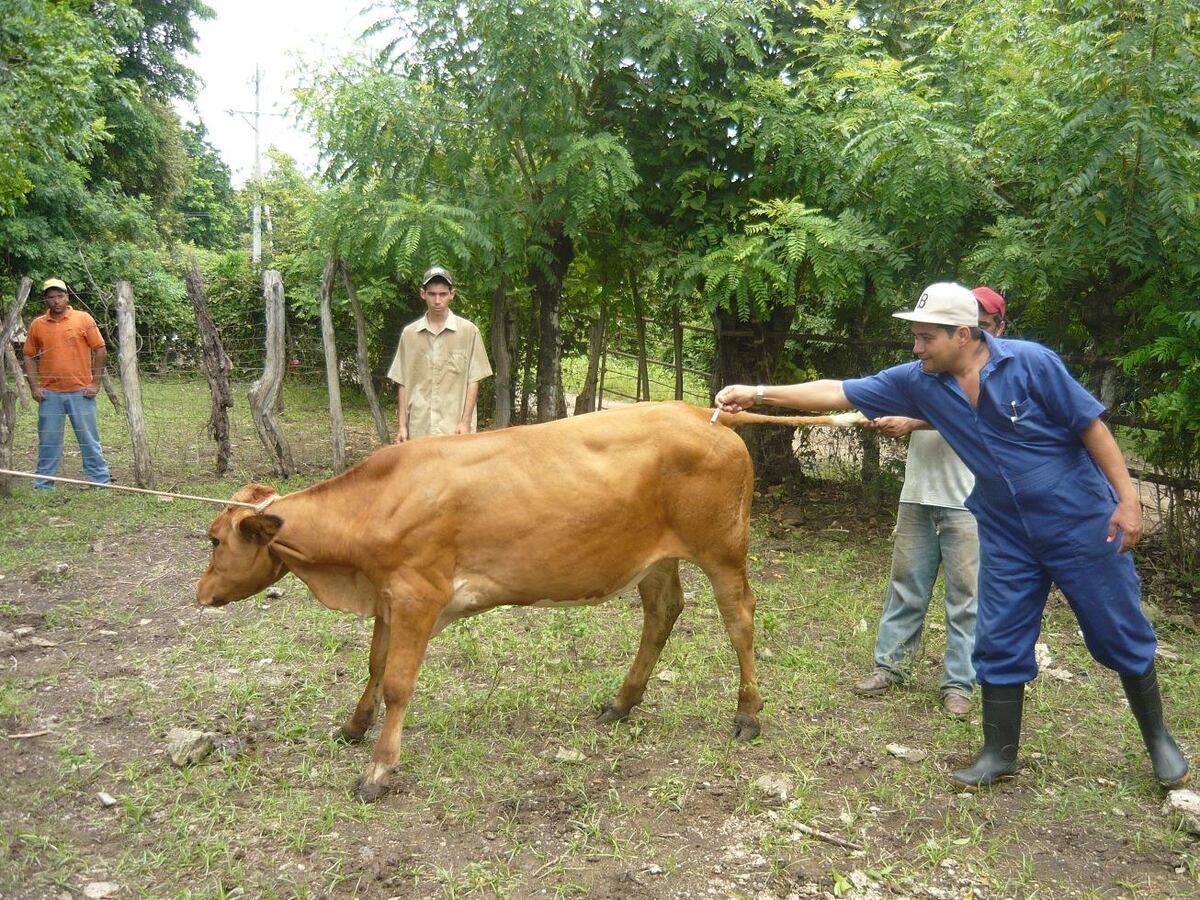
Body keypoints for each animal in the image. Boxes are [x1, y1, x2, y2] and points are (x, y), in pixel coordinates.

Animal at [196, 400, 864, 801]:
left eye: (213, 539)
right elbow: (375, 666)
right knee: (662, 614)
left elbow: (398, 683)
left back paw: (748, 712)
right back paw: (621, 703)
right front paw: (353, 728)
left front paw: (379, 770)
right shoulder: (388, 596)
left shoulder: (417, 593)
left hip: (722, 549)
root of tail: (701, 411)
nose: (200, 593)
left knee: (739, 619)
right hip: (655, 557)